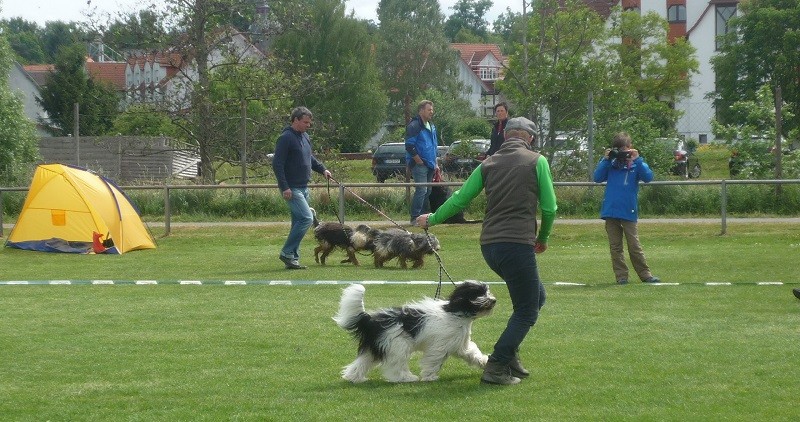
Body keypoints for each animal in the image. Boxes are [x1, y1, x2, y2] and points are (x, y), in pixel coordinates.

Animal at [332, 282, 494, 384]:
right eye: (479, 293)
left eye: (487, 291)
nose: (493, 300)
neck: (455, 313)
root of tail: (371, 320)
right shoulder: (439, 346)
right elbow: (434, 360)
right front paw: (429, 377)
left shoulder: (459, 344)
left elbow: (471, 353)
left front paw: (484, 362)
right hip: (397, 345)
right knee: (396, 365)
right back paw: (406, 378)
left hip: (377, 346)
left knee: (362, 362)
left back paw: (354, 378)